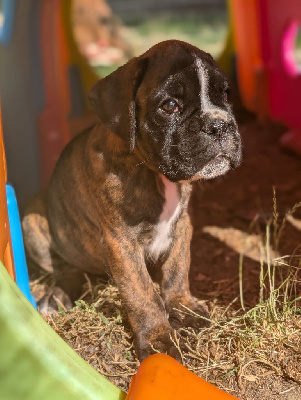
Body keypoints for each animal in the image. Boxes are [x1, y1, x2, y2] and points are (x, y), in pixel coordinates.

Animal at [22, 40, 240, 362]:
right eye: (169, 106)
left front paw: (184, 307)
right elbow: (143, 293)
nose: (219, 125)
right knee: (66, 269)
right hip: (33, 221)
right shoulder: (122, 244)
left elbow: (177, 271)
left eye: (224, 95)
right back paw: (58, 297)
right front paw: (158, 339)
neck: (154, 173)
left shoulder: (182, 227)